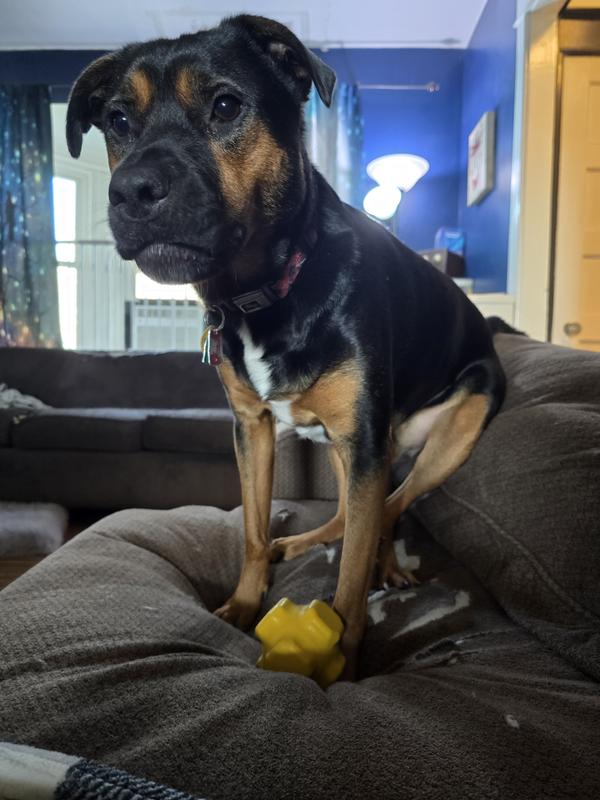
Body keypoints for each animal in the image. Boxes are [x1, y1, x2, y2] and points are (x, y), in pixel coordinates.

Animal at [67, 15, 505, 677]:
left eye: (226, 105)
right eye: (117, 119)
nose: (131, 190)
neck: (266, 292)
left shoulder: (364, 438)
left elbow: (349, 585)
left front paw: (344, 664)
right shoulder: (252, 429)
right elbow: (252, 530)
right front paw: (244, 606)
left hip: (451, 431)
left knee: (389, 507)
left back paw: (383, 564)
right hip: (352, 453)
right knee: (352, 514)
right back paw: (294, 543)